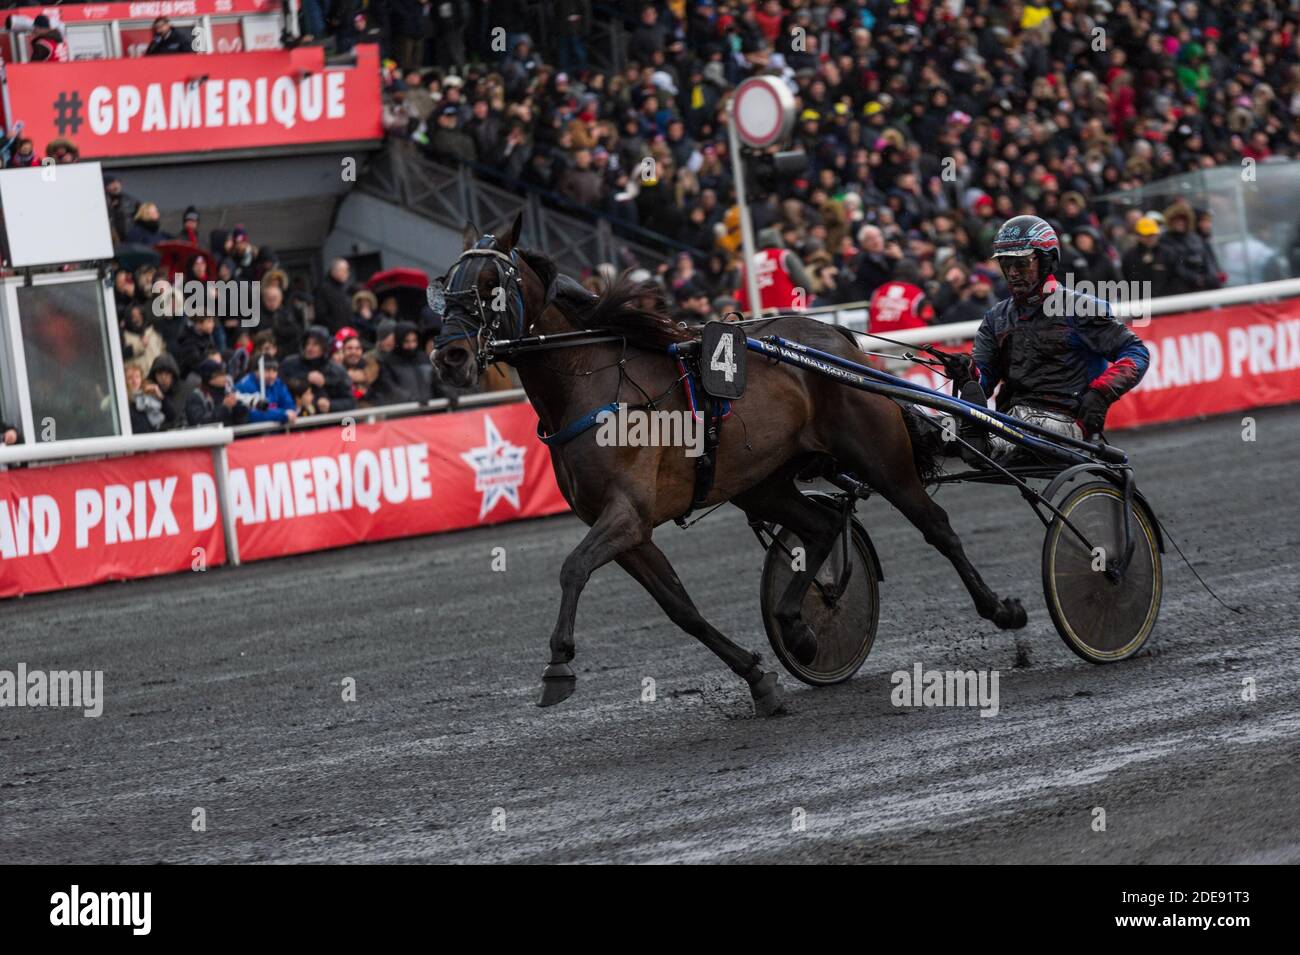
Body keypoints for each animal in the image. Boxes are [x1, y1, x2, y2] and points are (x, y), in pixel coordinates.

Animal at [436, 218, 1024, 717]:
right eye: (445, 283)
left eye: (490, 282)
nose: (451, 356)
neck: (594, 381)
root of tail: (838, 340)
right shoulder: (628, 530)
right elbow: (680, 607)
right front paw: (758, 678)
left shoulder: (626, 513)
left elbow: (573, 568)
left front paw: (558, 664)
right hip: (761, 482)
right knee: (823, 525)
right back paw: (799, 626)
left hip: (880, 458)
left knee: (935, 527)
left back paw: (1001, 608)